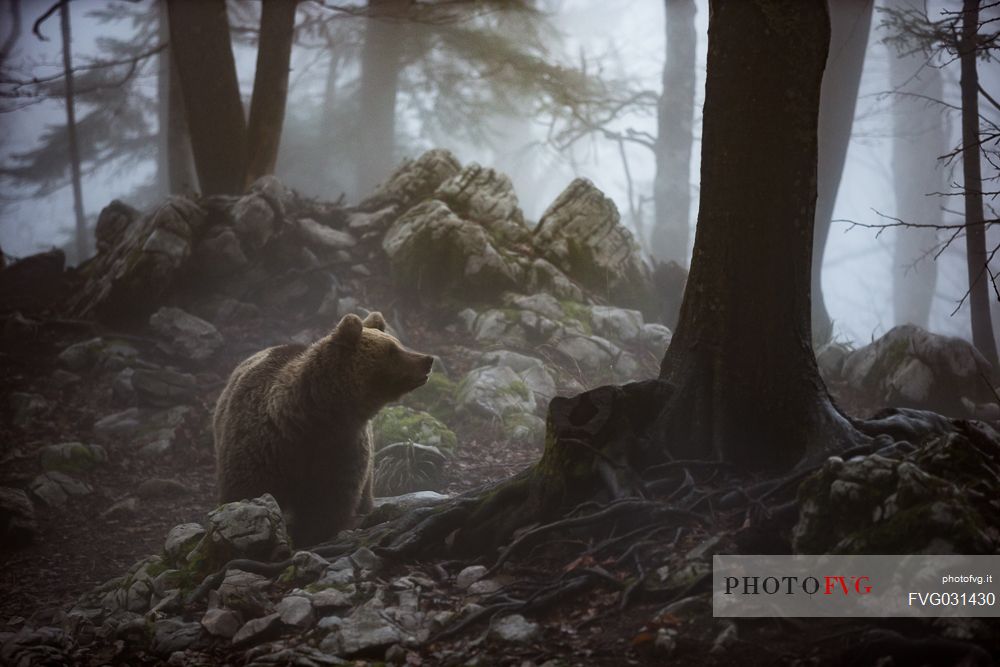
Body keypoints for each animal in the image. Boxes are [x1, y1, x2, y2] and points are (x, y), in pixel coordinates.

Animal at [213, 314, 432, 548]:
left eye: (397, 343)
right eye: (392, 349)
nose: (427, 360)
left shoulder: (342, 450)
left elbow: (328, 505)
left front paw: (312, 536)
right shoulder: (261, 449)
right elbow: (245, 491)